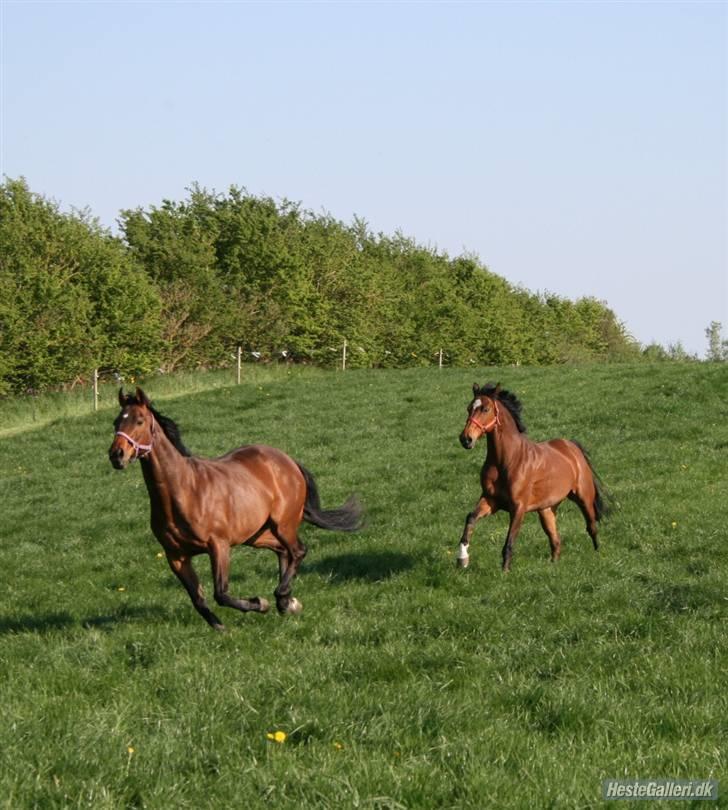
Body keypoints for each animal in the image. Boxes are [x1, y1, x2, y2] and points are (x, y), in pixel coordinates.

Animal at [108, 388, 364, 628]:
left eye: (139, 421)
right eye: (116, 422)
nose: (116, 455)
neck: (183, 492)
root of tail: (288, 461)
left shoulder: (218, 545)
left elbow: (221, 593)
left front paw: (260, 604)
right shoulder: (176, 557)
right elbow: (198, 599)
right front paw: (220, 628)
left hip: (283, 524)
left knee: (298, 551)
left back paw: (283, 598)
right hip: (255, 535)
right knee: (283, 552)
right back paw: (286, 601)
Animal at [456, 382, 608, 572]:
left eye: (485, 409)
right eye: (469, 408)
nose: (465, 439)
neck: (507, 460)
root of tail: (572, 447)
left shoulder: (518, 507)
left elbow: (509, 543)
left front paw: (505, 572)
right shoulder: (491, 500)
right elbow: (470, 518)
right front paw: (462, 559)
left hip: (583, 497)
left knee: (591, 527)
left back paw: (598, 555)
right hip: (546, 509)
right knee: (555, 540)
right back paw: (553, 565)